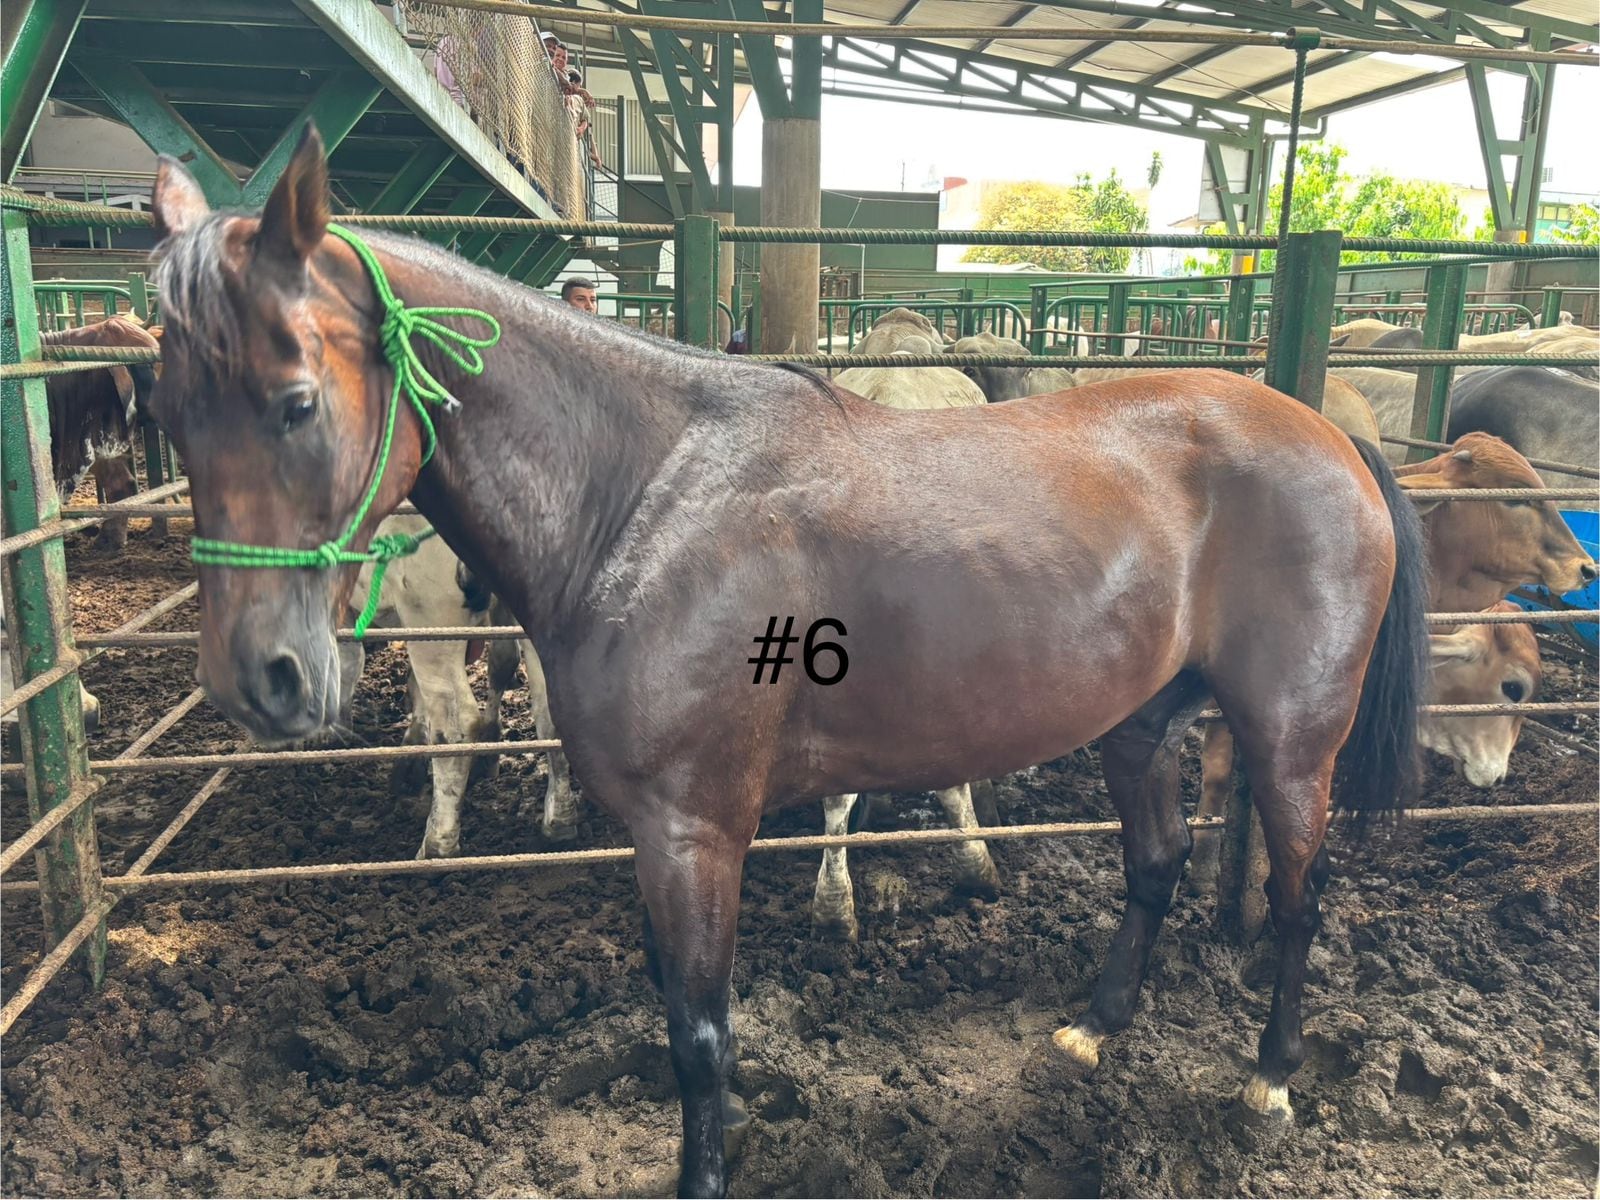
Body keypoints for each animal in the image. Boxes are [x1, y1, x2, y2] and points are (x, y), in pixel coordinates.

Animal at [149, 128, 1428, 1198]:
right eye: (170, 409)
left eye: (296, 400)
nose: (257, 677)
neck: (645, 499)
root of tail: (1325, 432)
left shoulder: (693, 831)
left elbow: (701, 1036)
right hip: (1140, 722)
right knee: (1155, 866)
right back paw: (1094, 1028)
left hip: (1290, 743)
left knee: (1299, 895)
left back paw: (1270, 1077)